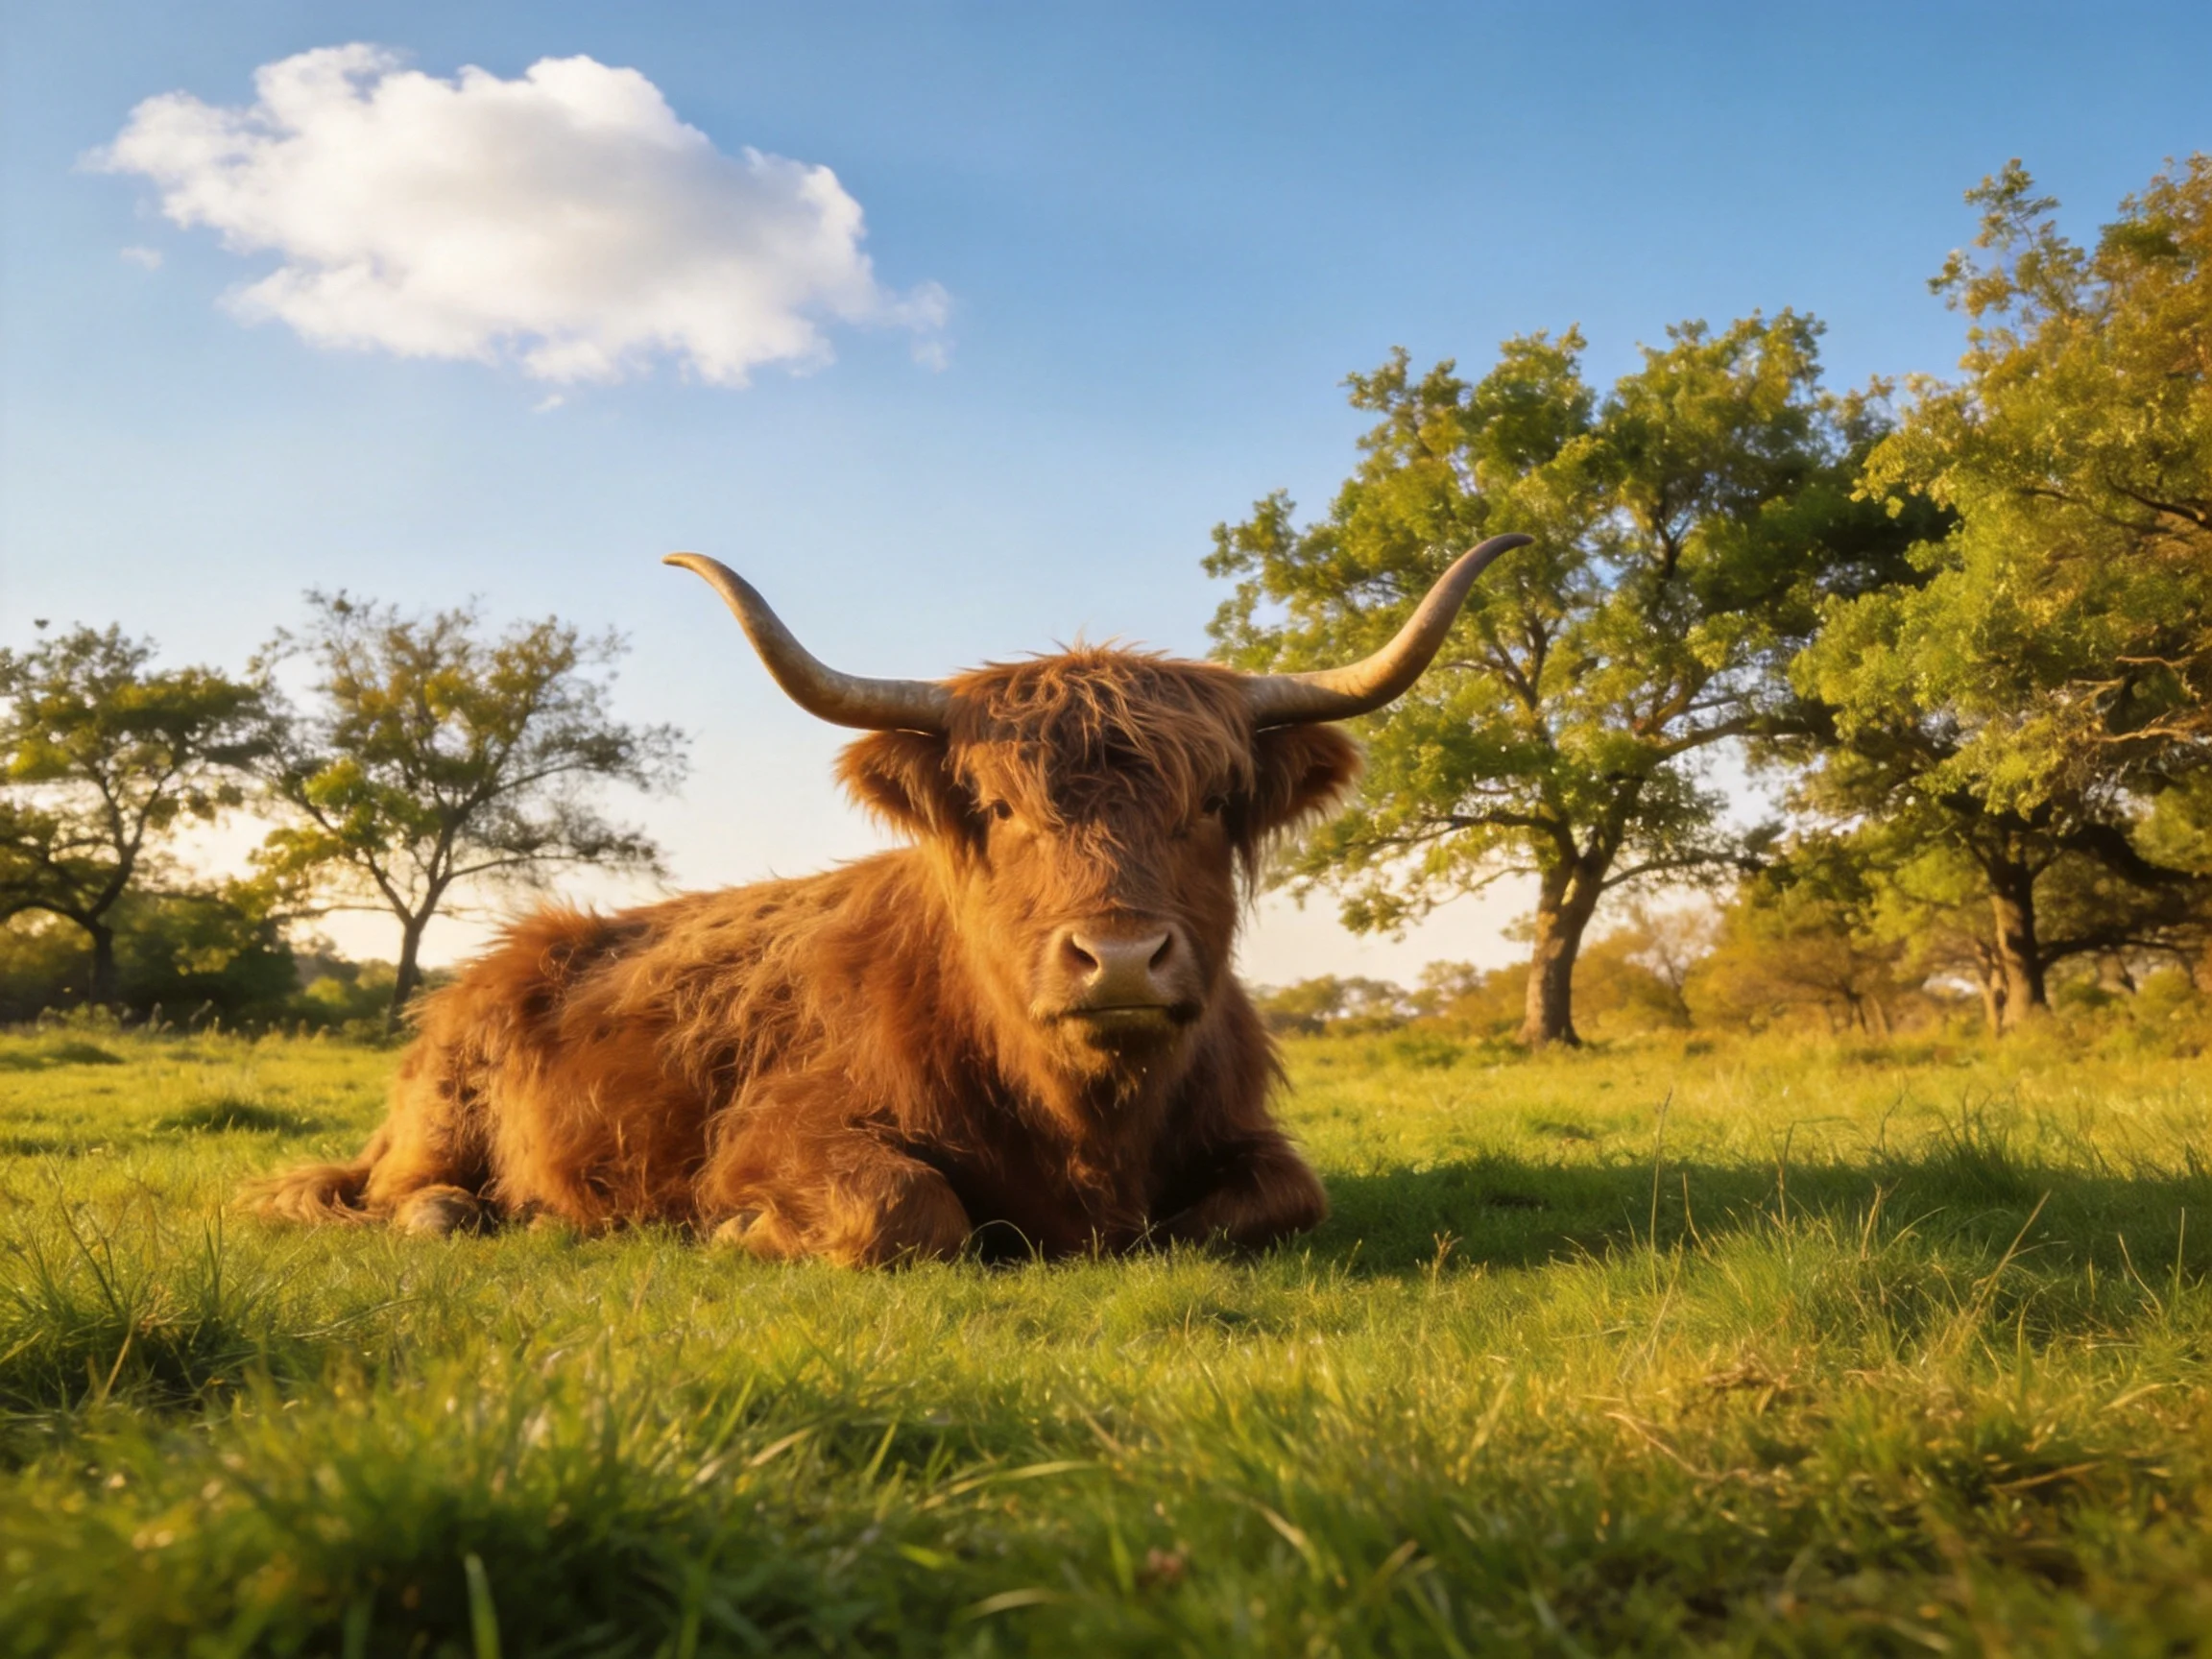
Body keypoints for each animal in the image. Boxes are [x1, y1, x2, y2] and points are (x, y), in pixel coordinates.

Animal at [252, 535, 1529, 1265]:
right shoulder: (786, 1130)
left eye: (1212, 799)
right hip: (435, 1124)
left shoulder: (1244, 1141)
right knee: (386, 1198)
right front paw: (736, 1231)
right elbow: (910, 1210)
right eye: (999, 807)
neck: (1086, 1124)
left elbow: (1282, 1199)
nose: (1119, 959)